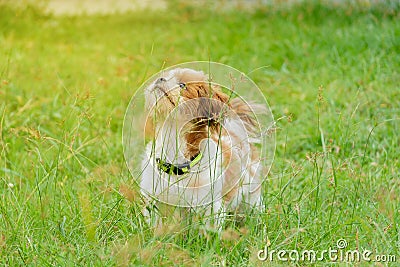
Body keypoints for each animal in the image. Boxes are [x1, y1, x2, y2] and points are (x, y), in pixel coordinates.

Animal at [141, 68, 266, 227]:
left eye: (182, 85)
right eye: (166, 76)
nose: (160, 79)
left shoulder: (210, 205)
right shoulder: (154, 198)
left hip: (251, 192)